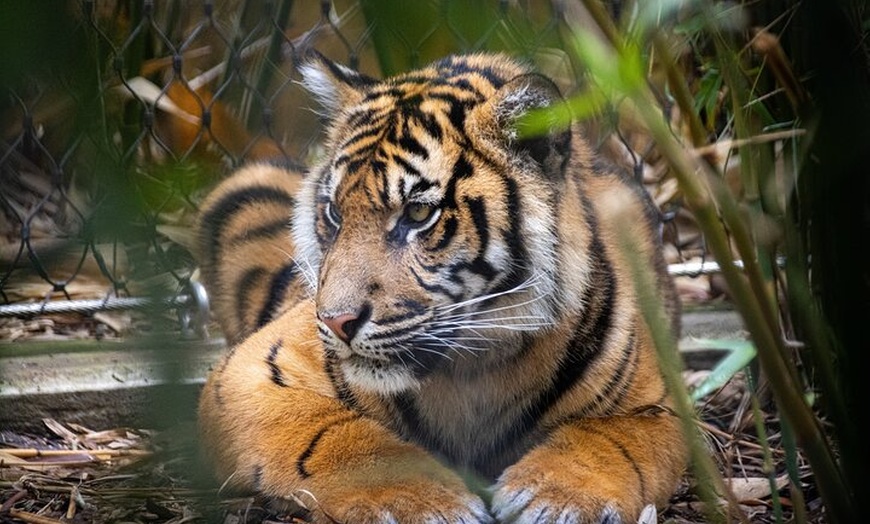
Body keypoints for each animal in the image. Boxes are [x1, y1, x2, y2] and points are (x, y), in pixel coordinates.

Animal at [196, 53, 688, 524]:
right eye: (335, 213)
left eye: (417, 214)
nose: (336, 323)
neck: (474, 368)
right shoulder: (248, 372)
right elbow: (337, 436)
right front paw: (418, 502)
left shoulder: (655, 405)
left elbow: (607, 440)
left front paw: (559, 497)